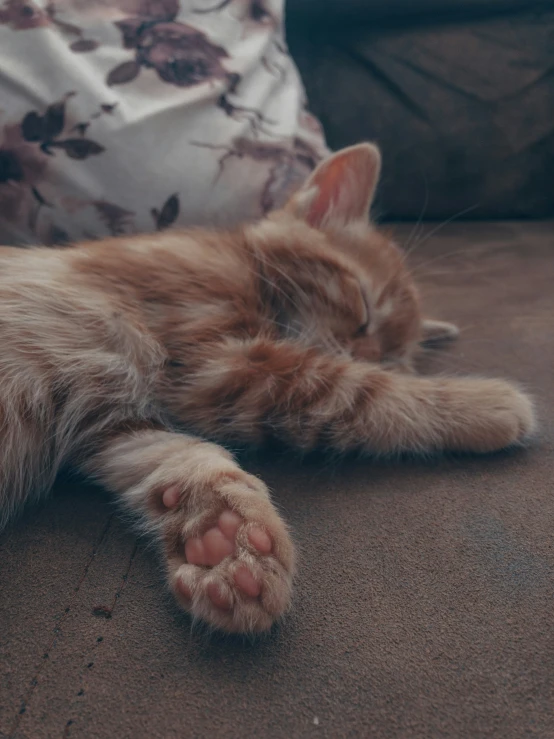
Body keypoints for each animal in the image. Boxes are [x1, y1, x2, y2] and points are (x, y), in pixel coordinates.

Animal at [1, 146, 536, 636]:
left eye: (394, 356)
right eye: (364, 305)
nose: (366, 354)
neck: (245, 266)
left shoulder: (118, 423)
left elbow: (177, 456)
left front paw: (220, 535)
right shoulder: (215, 363)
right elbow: (359, 391)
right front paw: (488, 403)